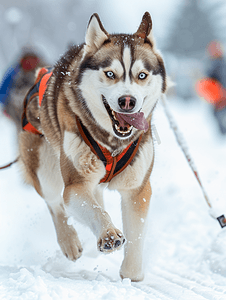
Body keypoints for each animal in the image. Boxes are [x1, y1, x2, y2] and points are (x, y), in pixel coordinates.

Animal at [19, 12, 166, 282]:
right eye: (110, 74)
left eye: (142, 75)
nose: (127, 101)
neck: (113, 143)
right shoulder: (76, 184)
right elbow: (94, 211)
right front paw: (108, 234)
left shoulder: (138, 188)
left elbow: (136, 233)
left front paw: (131, 276)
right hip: (46, 169)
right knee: (56, 204)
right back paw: (69, 241)